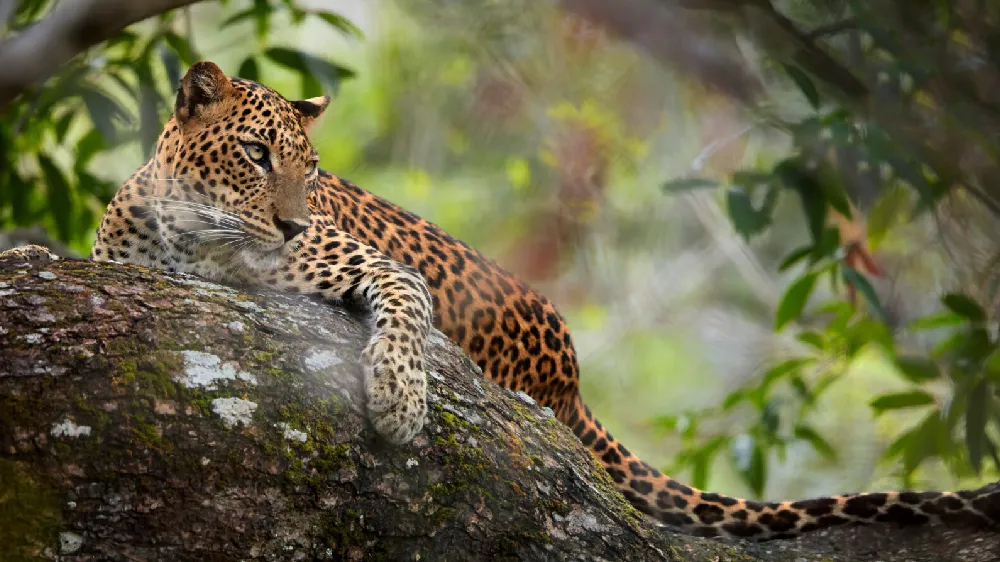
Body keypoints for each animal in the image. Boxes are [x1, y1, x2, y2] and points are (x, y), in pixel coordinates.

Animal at [88, 61, 1000, 540]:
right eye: (254, 152)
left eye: (310, 172)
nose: (291, 223)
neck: (187, 232)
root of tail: (572, 380)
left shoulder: (374, 264)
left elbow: (404, 314)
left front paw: (399, 403)